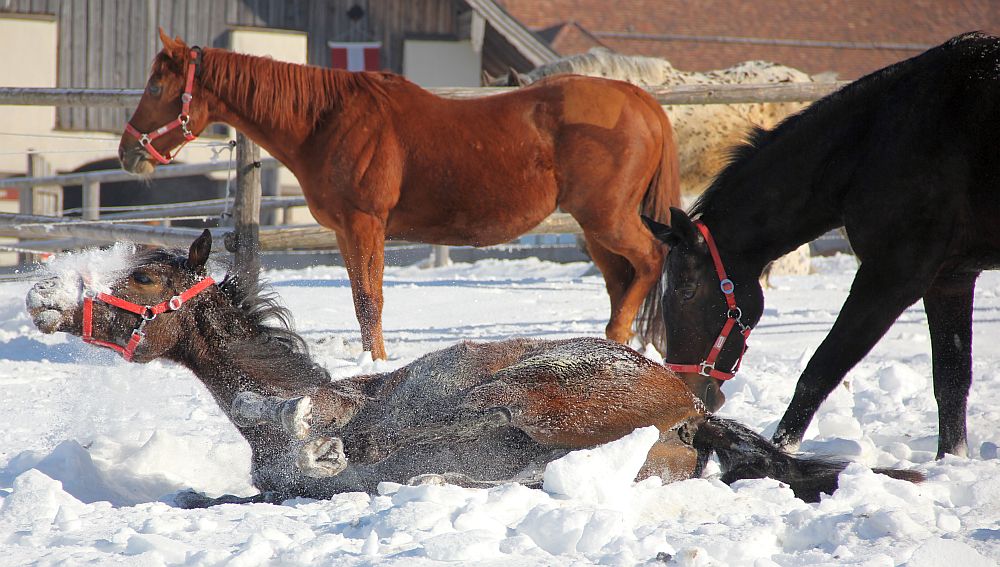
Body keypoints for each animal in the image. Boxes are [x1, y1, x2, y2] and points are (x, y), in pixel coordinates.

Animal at [117, 30, 680, 360]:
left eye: (155, 87)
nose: (127, 152)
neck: (329, 120)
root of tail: (641, 100)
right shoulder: (347, 232)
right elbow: (359, 300)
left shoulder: (367, 224)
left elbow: (371, 301)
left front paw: (378, 364)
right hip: (596, 229)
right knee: (622, 282)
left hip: (607, 220)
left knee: (652, 259)